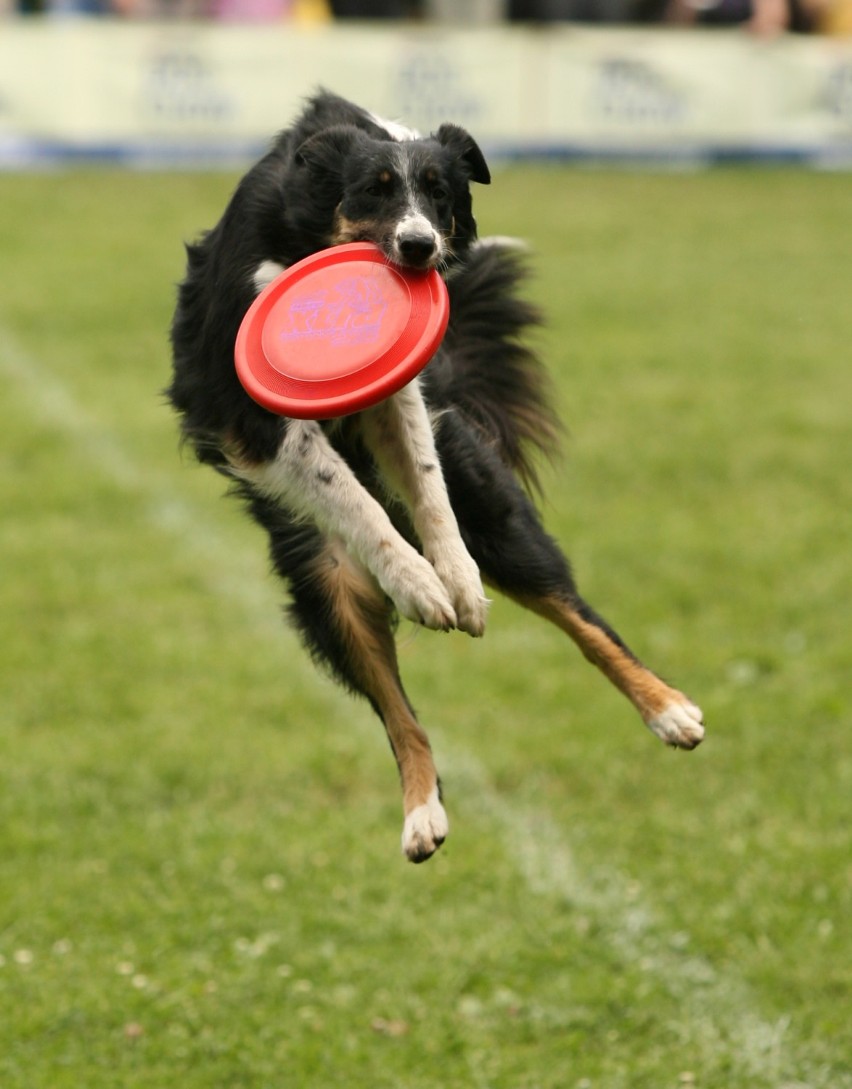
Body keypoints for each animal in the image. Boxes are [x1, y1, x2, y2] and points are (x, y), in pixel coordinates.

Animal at [168, 89, 706, 862]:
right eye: (375, 191)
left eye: (440, 195)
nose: (421, 247)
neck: (309, 234)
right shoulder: (253, 417)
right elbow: (347, 494)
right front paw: (419, 582)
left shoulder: (400, 399)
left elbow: (425, 482)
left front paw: (453, 579)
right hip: (326, 582)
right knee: (398, 711)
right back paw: (423, 812)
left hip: (498, 518)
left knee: (581, 617)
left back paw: (668, 709)